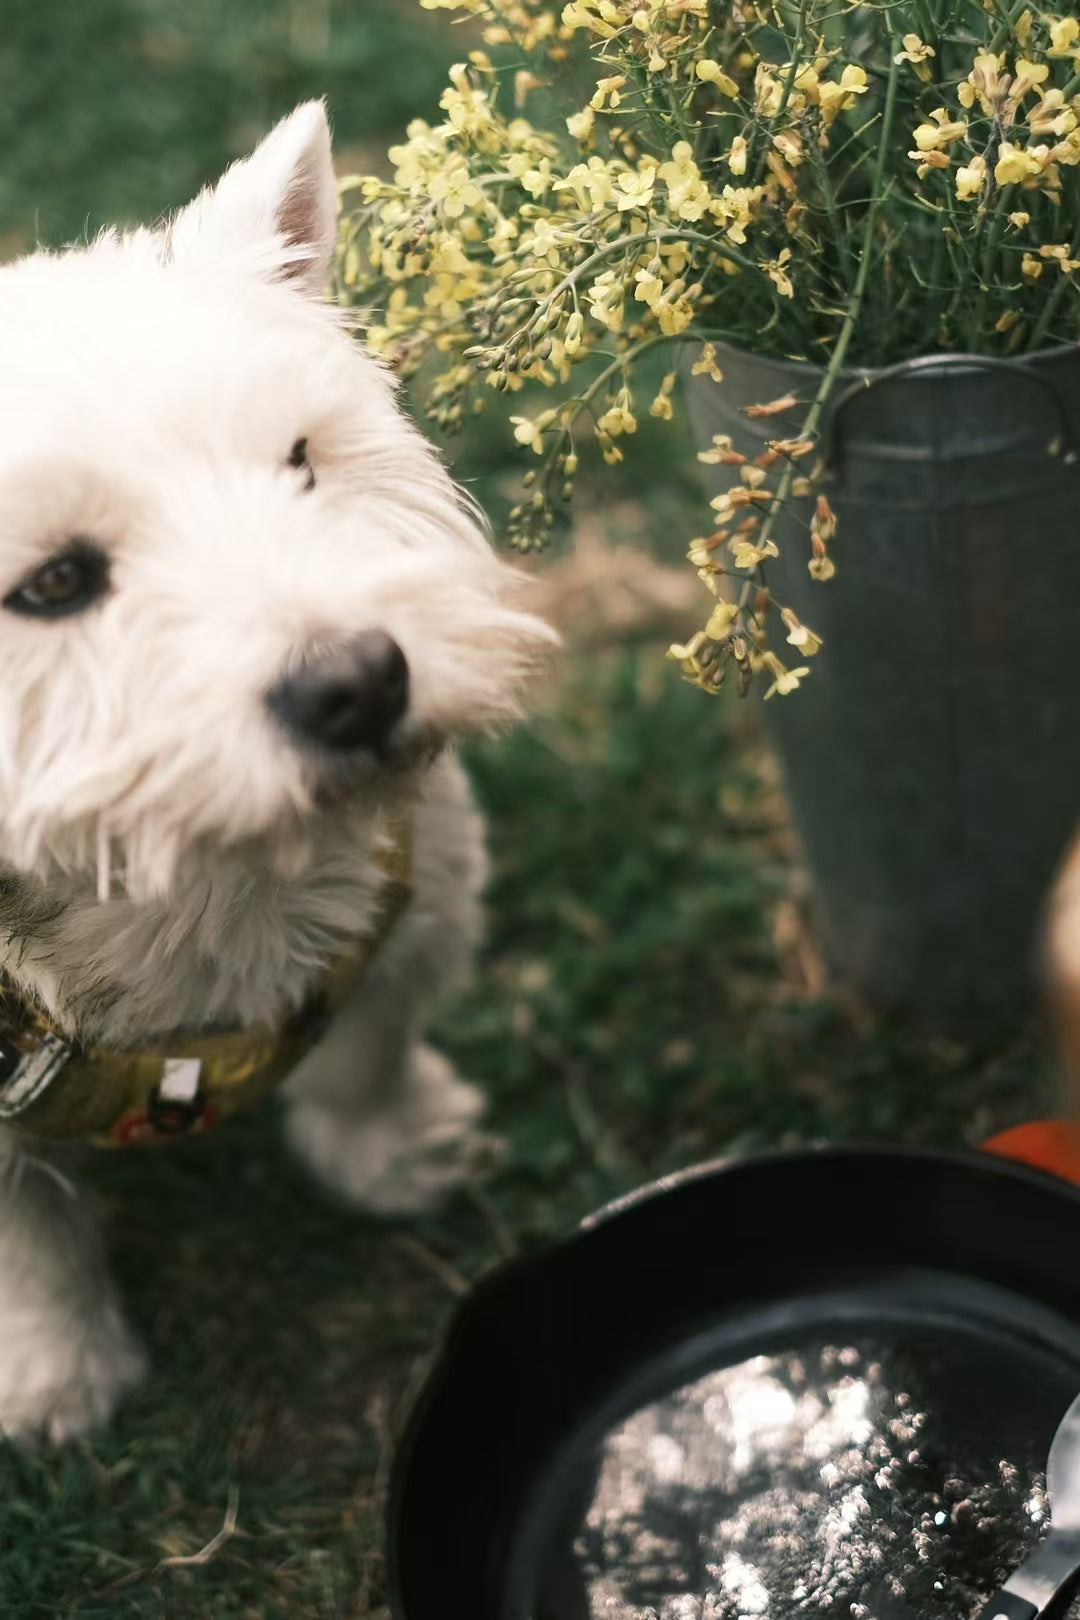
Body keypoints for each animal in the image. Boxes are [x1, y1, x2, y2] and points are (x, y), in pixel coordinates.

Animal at [0, 104, 553, 1445]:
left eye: (300, 461)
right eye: (54, 582)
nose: (358, 683)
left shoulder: (420, 887)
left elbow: (369, 1046)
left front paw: (398, 1151)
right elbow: (27, 1237)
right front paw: (58, 1375)